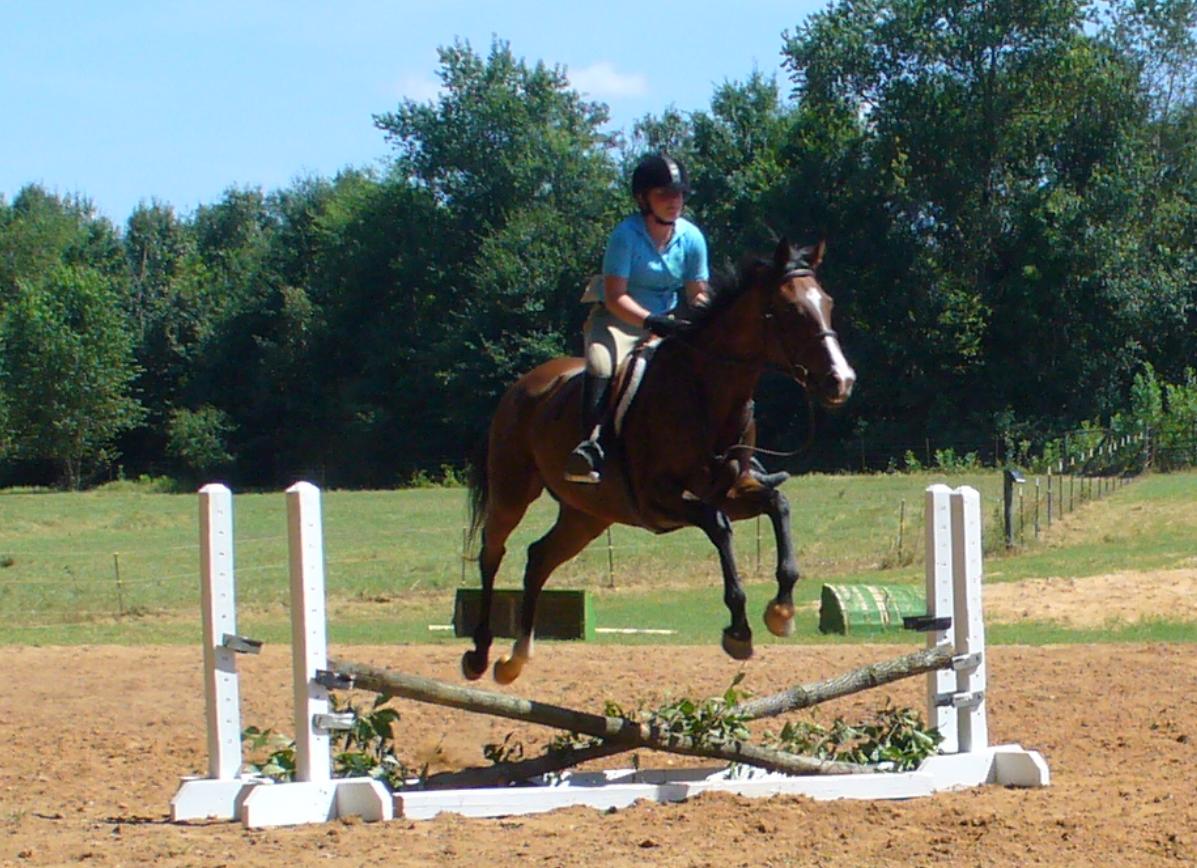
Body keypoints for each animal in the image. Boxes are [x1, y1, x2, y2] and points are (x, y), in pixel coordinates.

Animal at [462, 238, 857, 684]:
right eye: (791, 311)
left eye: (827, 303)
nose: (841, 381)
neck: (707, 395)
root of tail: (521, 386)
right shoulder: (660, 499)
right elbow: (719, 527)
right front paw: (739, 630)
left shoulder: (733, 491)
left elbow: (779, 505)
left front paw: (782, 611)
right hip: (513, 490)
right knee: (492, 551)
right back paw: (479, 653)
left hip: (587, 514)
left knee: (538, 558)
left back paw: (516, 658)